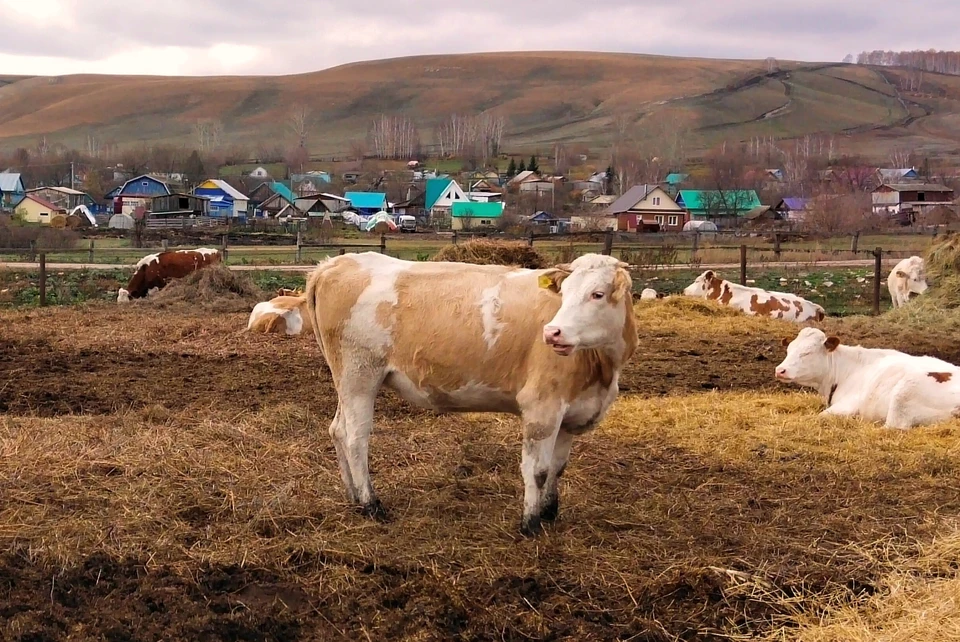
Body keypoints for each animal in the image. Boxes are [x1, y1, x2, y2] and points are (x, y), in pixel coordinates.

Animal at [306, 250, 636, 536]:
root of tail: (336, 263)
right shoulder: (542, 408)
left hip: (346, 379)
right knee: (355, 438)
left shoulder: (570, 414)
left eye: (597, 294)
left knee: (337, 429)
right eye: (564, 293)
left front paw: (550, 512)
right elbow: (538, 470)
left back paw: (352, 495)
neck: (602, 369)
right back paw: (370, 503)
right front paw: (530, 524)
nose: (552, 332)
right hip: (360, 375)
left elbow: (558, 468)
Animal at [772, 328, 960, 428]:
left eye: (807, 352)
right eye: (788, 350)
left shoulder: (848, 405)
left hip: (903, 395)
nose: (780, 370)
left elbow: (821, 416)